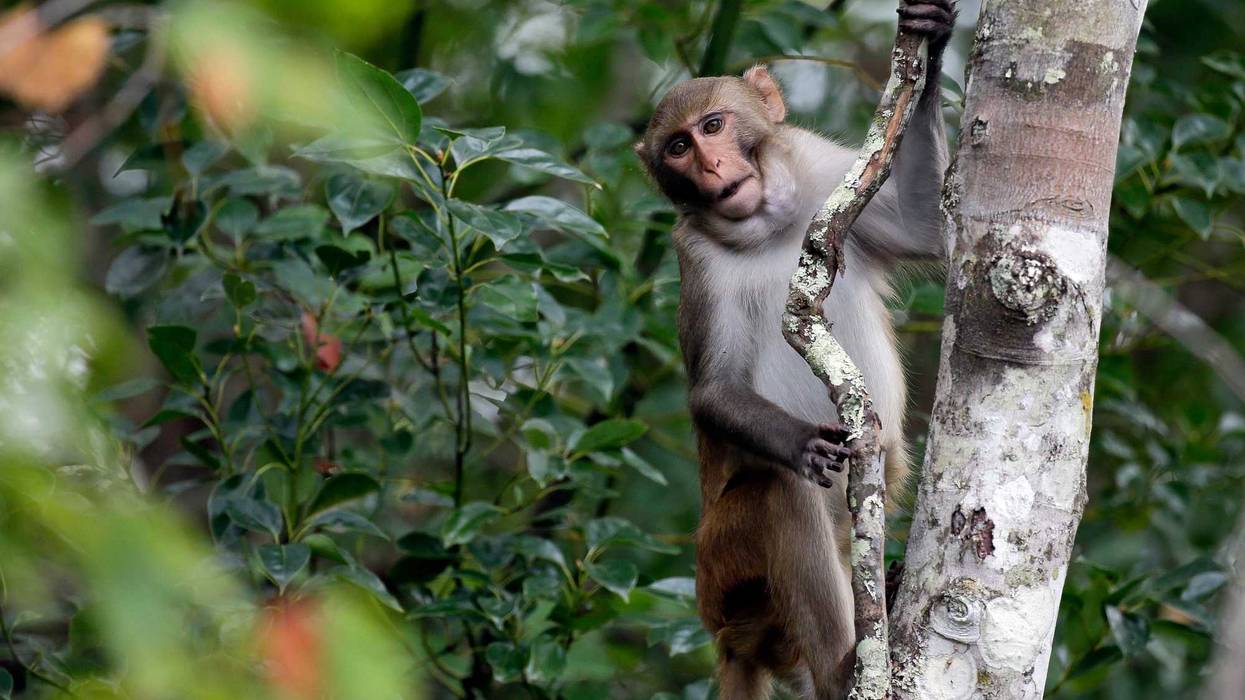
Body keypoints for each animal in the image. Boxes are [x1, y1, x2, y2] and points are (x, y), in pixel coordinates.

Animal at [633, 2, 955, 698]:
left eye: (714, 125)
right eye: (679, 147)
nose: (711, 168)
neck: (768, 226)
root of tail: (729, 637)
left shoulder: (825, 170)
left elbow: (927, 226)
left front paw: (934, 39)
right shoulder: (696, 259)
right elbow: (715, 389)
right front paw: (801, 441)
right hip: (724, 570)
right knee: (779, 495)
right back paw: (841, 668)